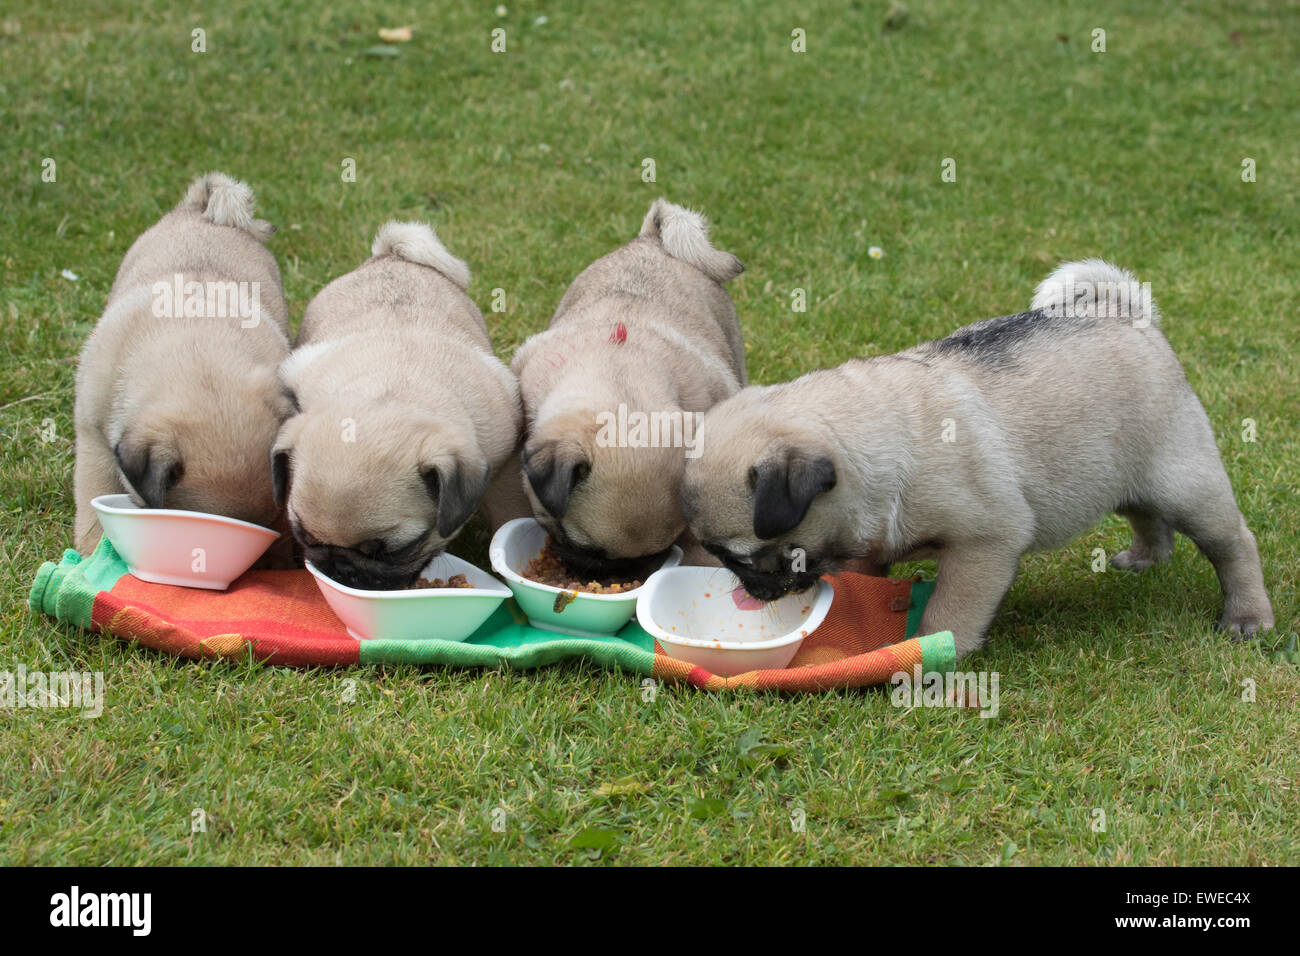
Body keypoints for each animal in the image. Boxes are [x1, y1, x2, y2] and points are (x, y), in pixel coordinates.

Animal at [275, 221, 522, 590]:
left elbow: (505, 504)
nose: (341, 568)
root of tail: (391, 256)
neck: (394, 394)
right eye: (305, 537)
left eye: (396, 551)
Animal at [686, 257, 1274, 655]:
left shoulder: (984, 545)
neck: (877, 435)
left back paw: (1247, 617)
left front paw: (929, 649)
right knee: (1146, 515)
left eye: (743, 557)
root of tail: (1124, 312)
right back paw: (1148, 558)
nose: (752, 592)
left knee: (1232, 543)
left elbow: (952, 609)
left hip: (1184, 480)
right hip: (1115, 471)